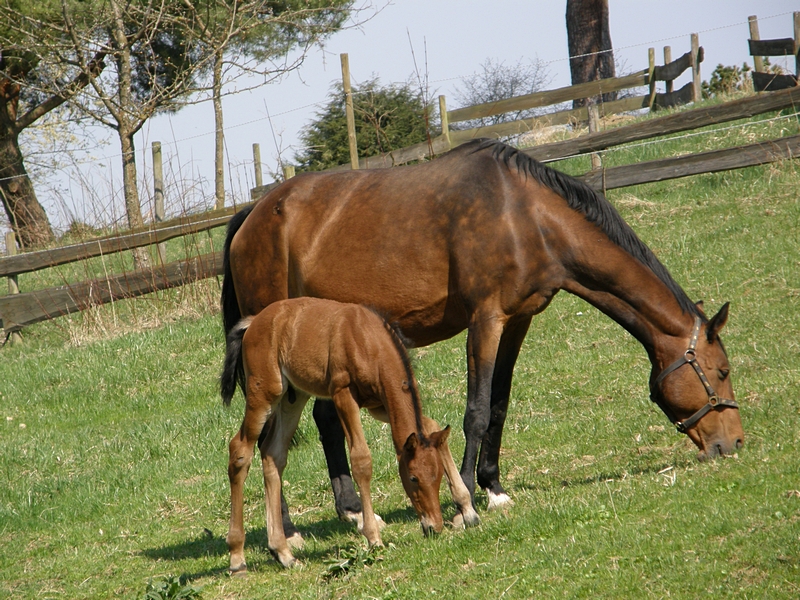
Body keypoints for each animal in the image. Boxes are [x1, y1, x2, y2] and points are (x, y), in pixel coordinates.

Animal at [219, 298, 478, 568]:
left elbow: (430, 425)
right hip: (264, 394)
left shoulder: (379, 405)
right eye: (413, 478)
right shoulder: (343, 394)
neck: (368, 340)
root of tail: (253, 323)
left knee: (273, 454)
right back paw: (237, 557)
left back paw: (283, 553)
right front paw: (373, 537)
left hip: (293, 397)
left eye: (437, 477)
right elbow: (361, 460)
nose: (433, 526)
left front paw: (467, 507)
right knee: (240, 451)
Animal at [220, 139, 744, 536]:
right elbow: (474, 411)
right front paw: (466, 499)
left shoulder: (517, 320)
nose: (734, 443)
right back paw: (288, 528)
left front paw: (494, 487)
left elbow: (498, 405)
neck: (527, 216)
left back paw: (349, 509)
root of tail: (251, 215)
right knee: (267, 437)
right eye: (721, 371)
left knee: (321, 421)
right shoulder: (485, 319)